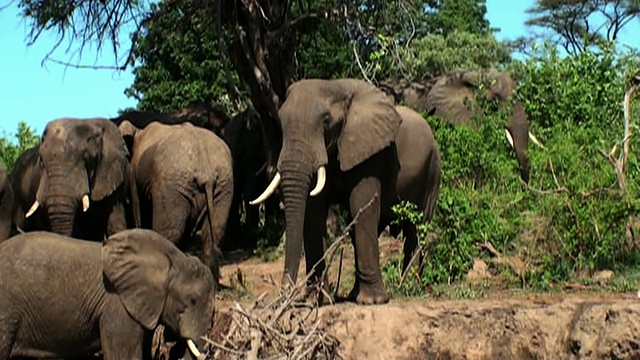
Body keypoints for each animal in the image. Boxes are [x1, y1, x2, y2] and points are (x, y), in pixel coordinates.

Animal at [117, 121, 232, 284]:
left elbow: (139, 214)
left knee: (170, 233)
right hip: (223, 184)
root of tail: (205, 170)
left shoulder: (134, 176)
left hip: (171, 184)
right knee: (213, 233)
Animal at [250, 78, 440, 304]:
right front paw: (316, 301)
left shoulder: (370, 153)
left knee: (416, 227)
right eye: (281, 122)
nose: (287, 296)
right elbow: (313, 215)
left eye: (326, 121)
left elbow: (362, 207)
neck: (337, 87)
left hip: (432, 170)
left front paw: (373, 302)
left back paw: (408, 287)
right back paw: (355, 294)